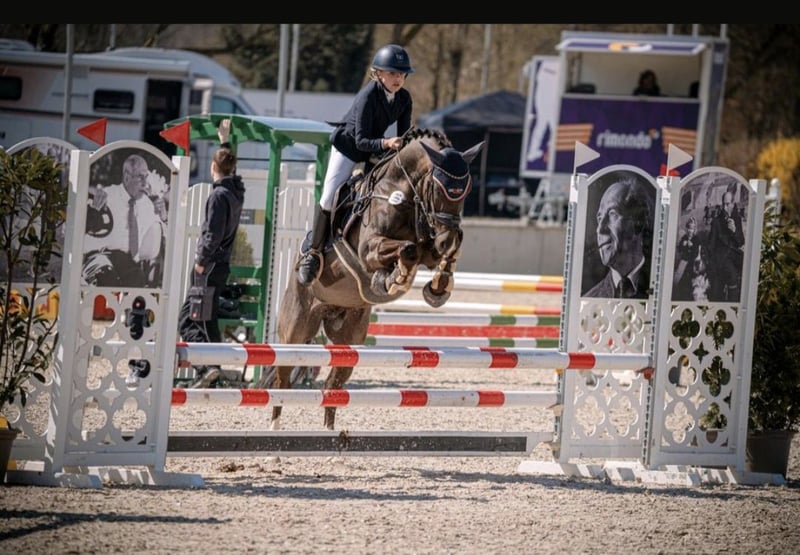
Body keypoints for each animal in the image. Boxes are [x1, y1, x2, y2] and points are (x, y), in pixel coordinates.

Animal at [256, 127, 484, 430]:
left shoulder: (429, 248)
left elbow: (434, 254)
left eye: (465, 191)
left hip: (349, 338)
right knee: (283, 380)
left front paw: (437, 288)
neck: (401, 194)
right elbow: (406, 250)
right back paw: (275, 426)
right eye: (438, 187)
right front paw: (391, 279)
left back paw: (329, 432)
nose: (446, 238)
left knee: (333, 384)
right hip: (295, 331)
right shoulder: (368, 249)